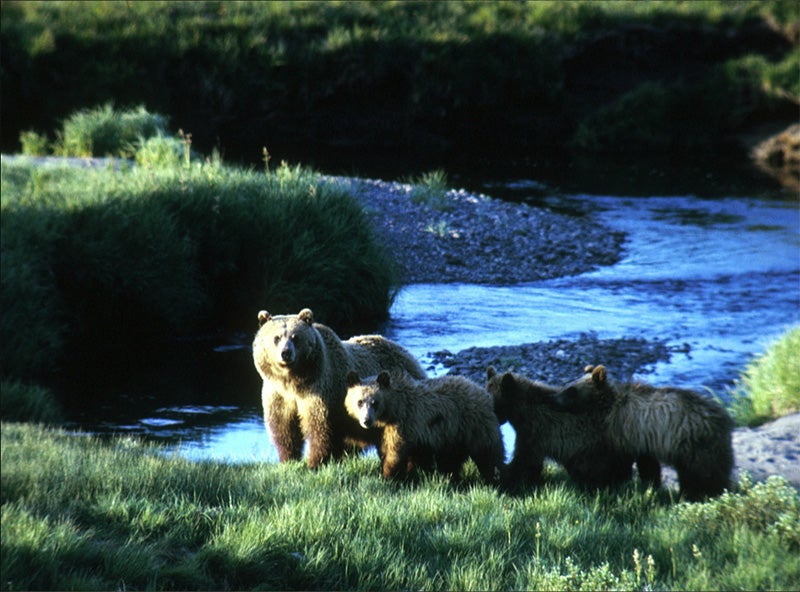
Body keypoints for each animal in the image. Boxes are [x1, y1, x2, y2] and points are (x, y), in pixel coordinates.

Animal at [252, 308, 424, 470]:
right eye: (276, 337)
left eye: (295, 337)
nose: (286, 353)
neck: (293, 382)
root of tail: (407, 354)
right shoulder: (279, 395)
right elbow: (283, 427)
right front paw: (288, 459)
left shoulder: (321, 390)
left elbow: (320, 426)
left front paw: (314, 463)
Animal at [346, 370, 506, 486]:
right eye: (360, 401)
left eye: (375, 402)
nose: (366, 420)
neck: (392, 410)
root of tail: (483, 392)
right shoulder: (385, 432)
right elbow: (387, 451)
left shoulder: (403, 424)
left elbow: (395, 453)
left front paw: (389, 477)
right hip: (453, 435)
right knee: (451, 460)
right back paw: (452, 478)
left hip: (474, 424)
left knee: (489, 454)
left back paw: (496, 479)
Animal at [484, 366, 636, 490]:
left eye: (494, 403)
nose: (496, 421)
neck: (521, 413)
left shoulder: (535, 432)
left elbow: (526, 460)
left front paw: (510, 479)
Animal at [552, 366, 736, 500]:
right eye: (567, 384)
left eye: (571, 390)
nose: (553, 399)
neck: (609, 404)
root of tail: (724, 418)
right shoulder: (642, 439)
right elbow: (648, 464)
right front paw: (649, 486)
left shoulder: (626, 430)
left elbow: (623, 461)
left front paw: (621, 481)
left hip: (696, 444)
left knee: (704, 473)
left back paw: (703, 494)